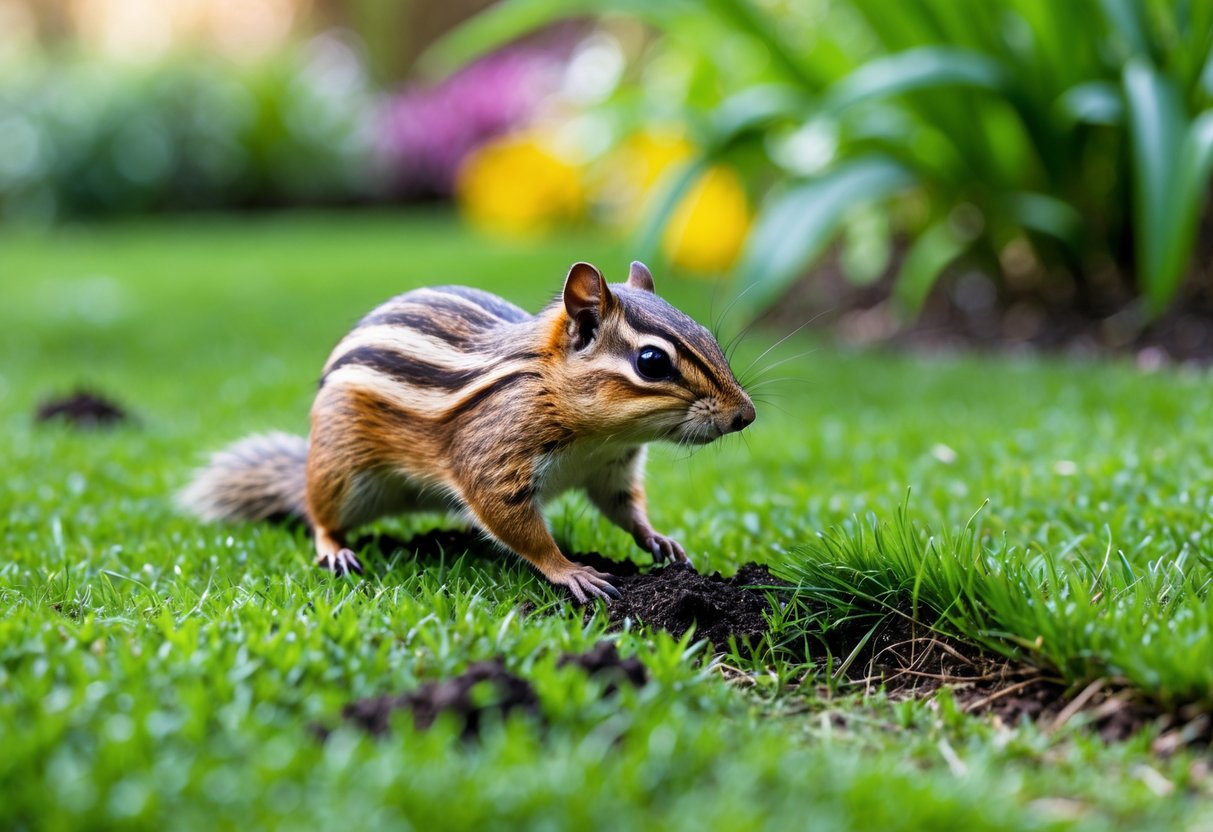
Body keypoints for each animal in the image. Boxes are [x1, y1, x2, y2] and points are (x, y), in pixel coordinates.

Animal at [180, 261, 755, 602]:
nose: (745, 415)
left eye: (707, 335)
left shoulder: (611, 469)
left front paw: (658, 539)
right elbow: (513, 522)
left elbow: (624, 508)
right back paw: (335, 548)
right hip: (341, 471)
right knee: (319, 513)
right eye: (652, 362)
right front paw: (570, 570)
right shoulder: (495, 455)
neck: (597, 437)